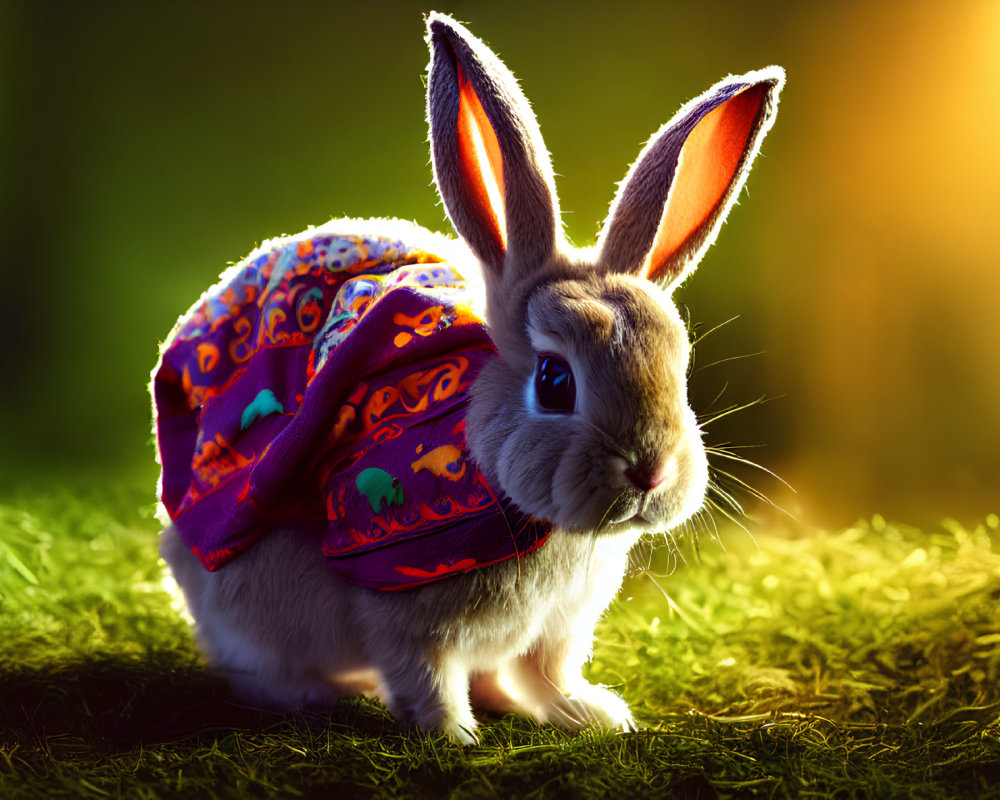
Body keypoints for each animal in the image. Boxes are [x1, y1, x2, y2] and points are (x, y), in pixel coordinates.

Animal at [152, 10, 784, 744]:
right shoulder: (402, 616)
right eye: (555, 381)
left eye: (678, 367)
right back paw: (322, 694)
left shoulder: (558, 629)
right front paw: (453, 734)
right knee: (255, 669)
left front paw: (593, 714)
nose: (650, 472)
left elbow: (548, 674)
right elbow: (424, 678)